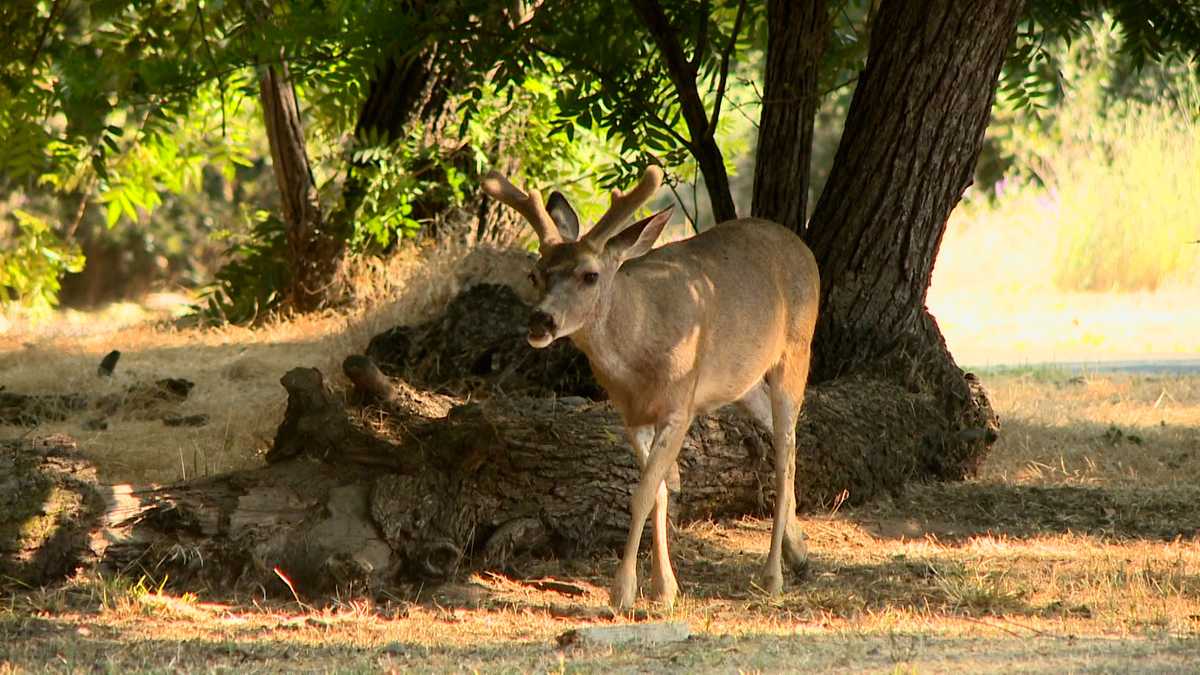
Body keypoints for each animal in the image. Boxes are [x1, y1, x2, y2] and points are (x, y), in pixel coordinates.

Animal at [481, 165, 819, 610]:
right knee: (780, 436)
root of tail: (802, 247)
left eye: (590, 275)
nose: (541, 320)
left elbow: (641, 494)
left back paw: (772, 574)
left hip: (796, 350)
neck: (639, 352)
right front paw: (665, 587)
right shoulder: (632, 416)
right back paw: (798, 551)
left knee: (787, 452)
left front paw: (623, 591)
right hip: (741, 382)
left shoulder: (680, 405)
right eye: (535, 273)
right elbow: (658, 491)